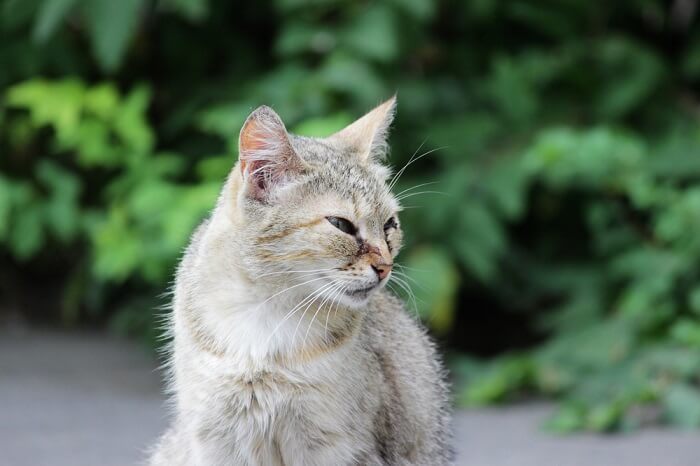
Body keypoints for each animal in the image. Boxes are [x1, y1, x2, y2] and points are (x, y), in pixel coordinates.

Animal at [150, 96, 452, 464]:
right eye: (341, 225)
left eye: (389, 225)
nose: (385, 266)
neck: (264, 314)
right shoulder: (216, 439)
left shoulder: (335, 446)